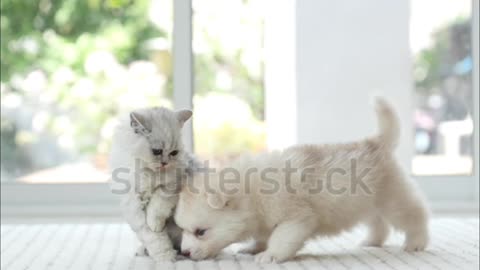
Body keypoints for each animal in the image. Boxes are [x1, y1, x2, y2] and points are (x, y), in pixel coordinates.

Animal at [109, 107, 198, 262]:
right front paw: (165, 256)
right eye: (157, 151)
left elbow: (157, 206)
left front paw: (155, 224)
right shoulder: (134, 206)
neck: (149, 174)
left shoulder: (172, 186)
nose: (165, 163)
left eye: (174, 153)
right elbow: (153, 237)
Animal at [174, 98, 430, 262]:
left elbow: (280, 238)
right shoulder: (264, 221)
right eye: (183, 230)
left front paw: (270, 255)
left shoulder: (296, 219)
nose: (184, 253)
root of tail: (376, 143)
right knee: (379, 223)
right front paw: (253, 248)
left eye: (200, 232)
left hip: (393, 200)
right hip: (367, 203)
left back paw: (416, 243)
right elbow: (263, 236)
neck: (252, 195)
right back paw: (372, 241)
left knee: (414, 216)